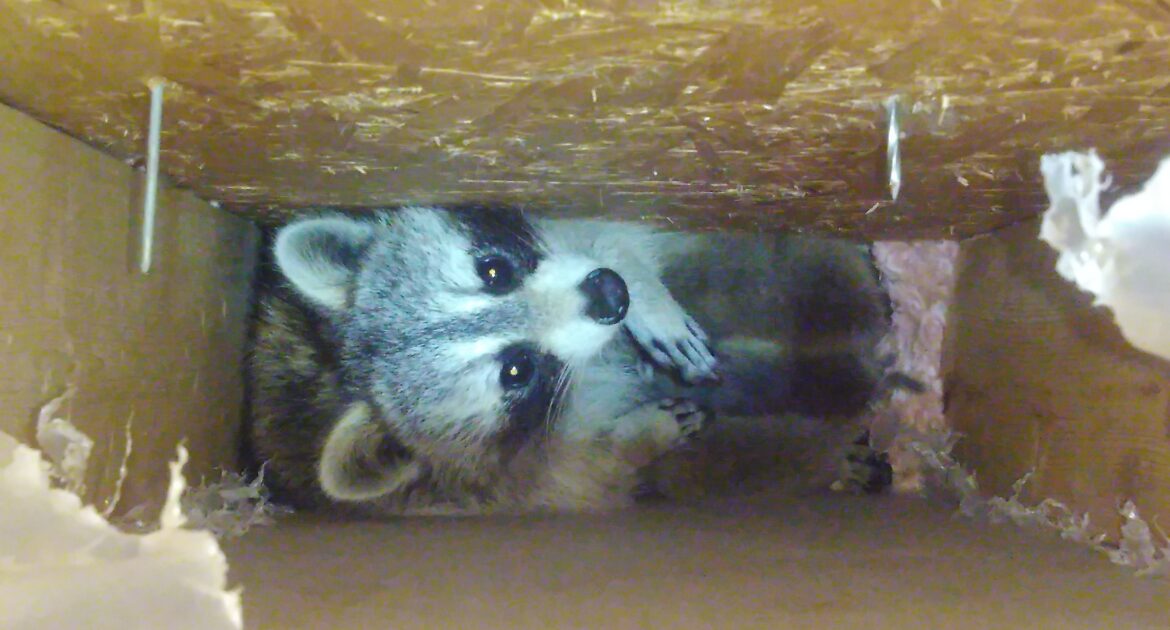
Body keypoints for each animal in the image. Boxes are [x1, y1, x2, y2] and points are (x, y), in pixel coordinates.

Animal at [246, 205, 896, 516]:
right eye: (516, 370)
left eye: (493, 270)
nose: (611, 295)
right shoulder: (505, 481)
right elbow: (593, 467)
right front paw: (641, 433)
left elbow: (599, 231)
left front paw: (639, 285)